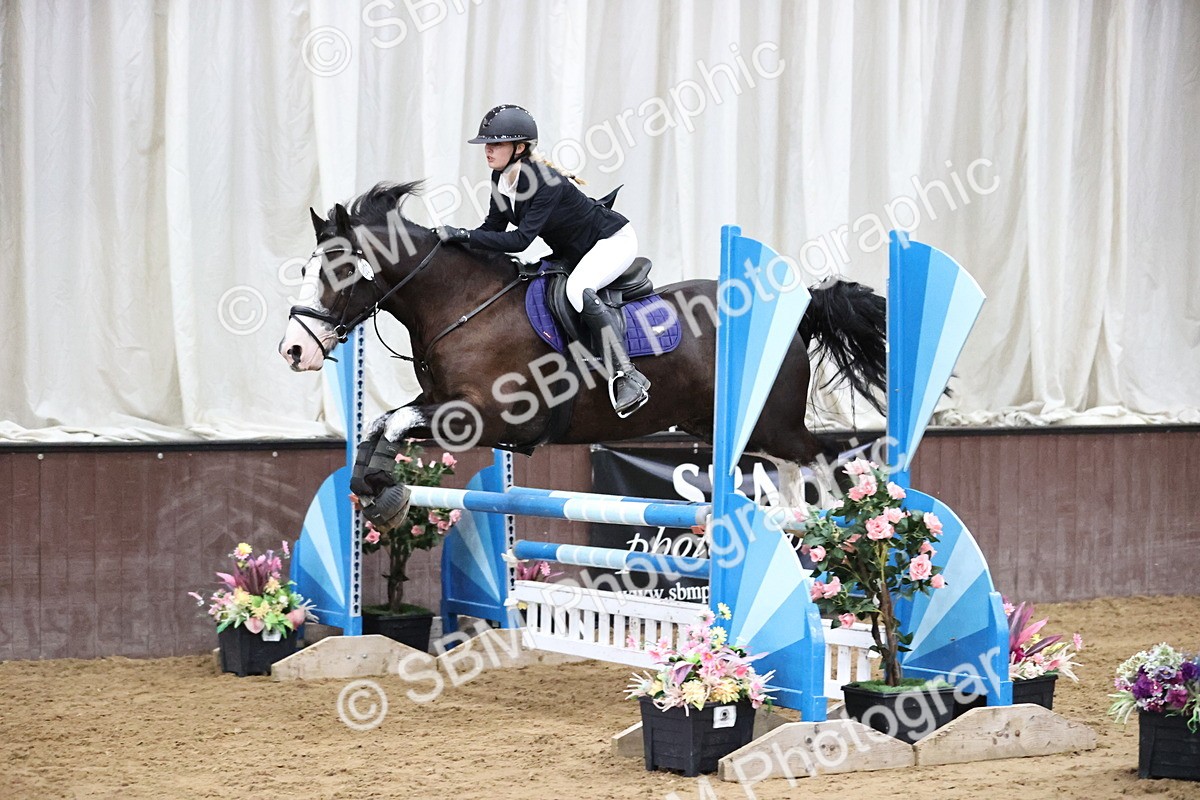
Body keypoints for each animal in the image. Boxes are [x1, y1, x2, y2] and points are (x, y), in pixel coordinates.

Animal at [278, 182, 886, 507]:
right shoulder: (442, 405)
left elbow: (397, 421)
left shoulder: (490, 416)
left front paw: (380, 486)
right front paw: (375, 485)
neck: (461, 305)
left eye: (339, 270)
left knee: (821, 467)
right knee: (792, 478)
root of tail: (795, 312)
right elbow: (385, 421)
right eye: (306, 268)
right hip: (736, 426)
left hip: (775, 421)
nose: (294, 351)